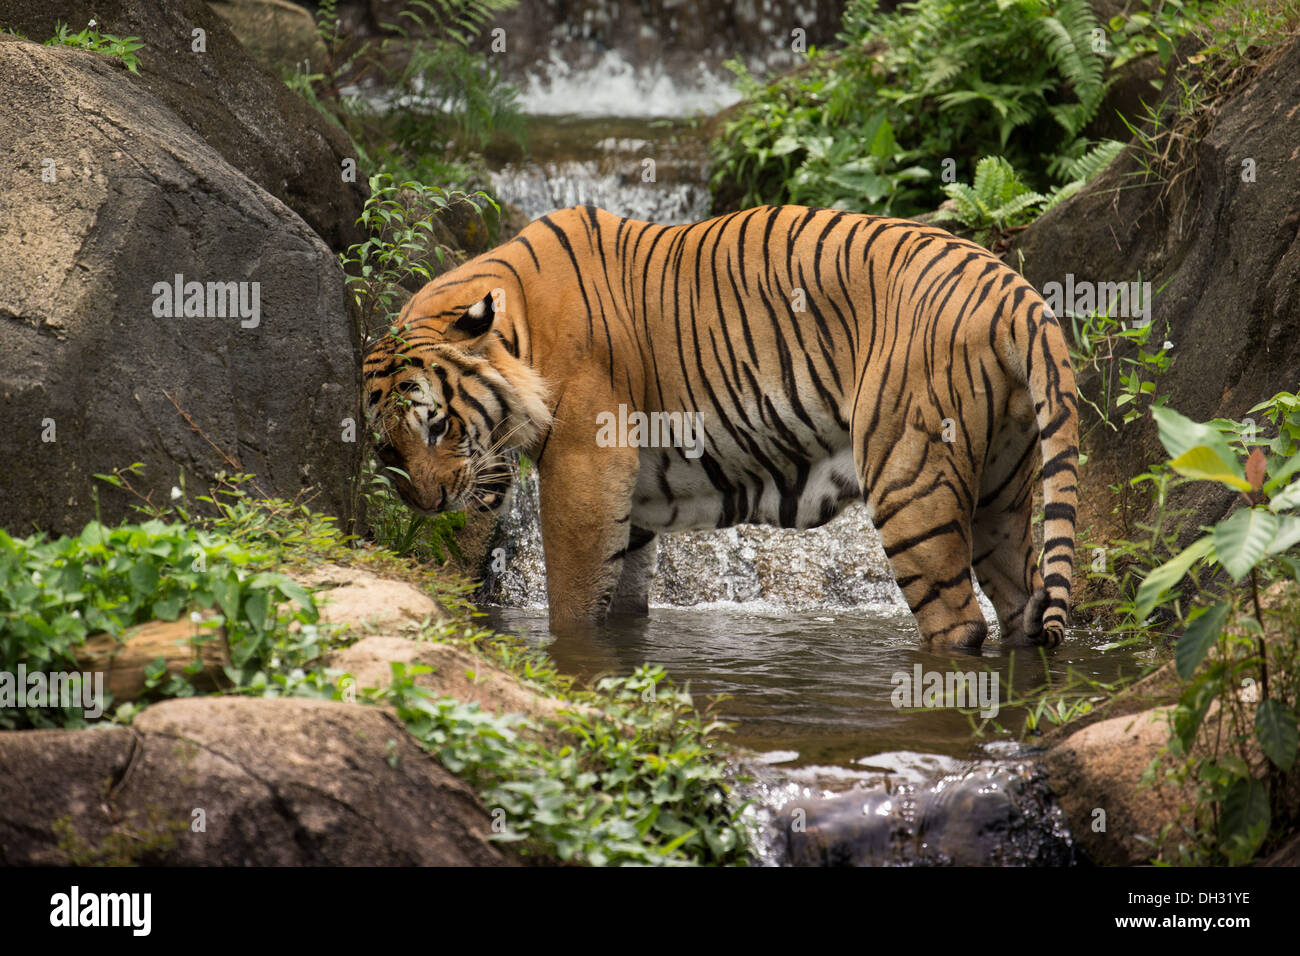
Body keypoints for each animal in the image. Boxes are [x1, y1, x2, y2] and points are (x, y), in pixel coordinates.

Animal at [363, 204, 1078, 649]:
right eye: (386, 448)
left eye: (436, 426)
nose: (428, 503)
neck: (523, 331)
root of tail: (1012, 289)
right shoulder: (632, 504)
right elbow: (625, 600)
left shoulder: (584, 468)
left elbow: (571, 603)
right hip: (1000, 490)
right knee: (1021, 605)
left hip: (911, 479)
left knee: (959, 624)